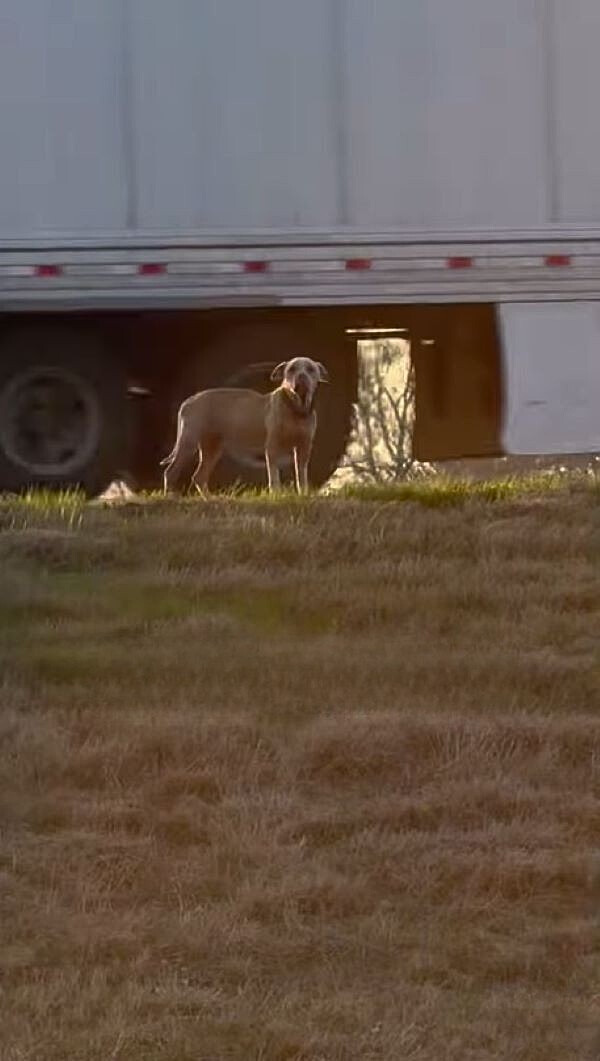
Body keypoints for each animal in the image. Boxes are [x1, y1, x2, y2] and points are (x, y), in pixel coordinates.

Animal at [160, 352, 328, 492]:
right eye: (291, 369)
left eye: (311, 369)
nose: (301, 376)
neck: (295, 409)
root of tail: (189, 400)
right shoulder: (273, 448)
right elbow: (274, 476)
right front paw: (276, 494)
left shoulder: (304, 449)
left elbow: (301, 476)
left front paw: (303, 493)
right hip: (189, 442)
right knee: (171, 472)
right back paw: (171, 496)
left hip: (212, 447)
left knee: (199, 476)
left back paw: (209, 499)